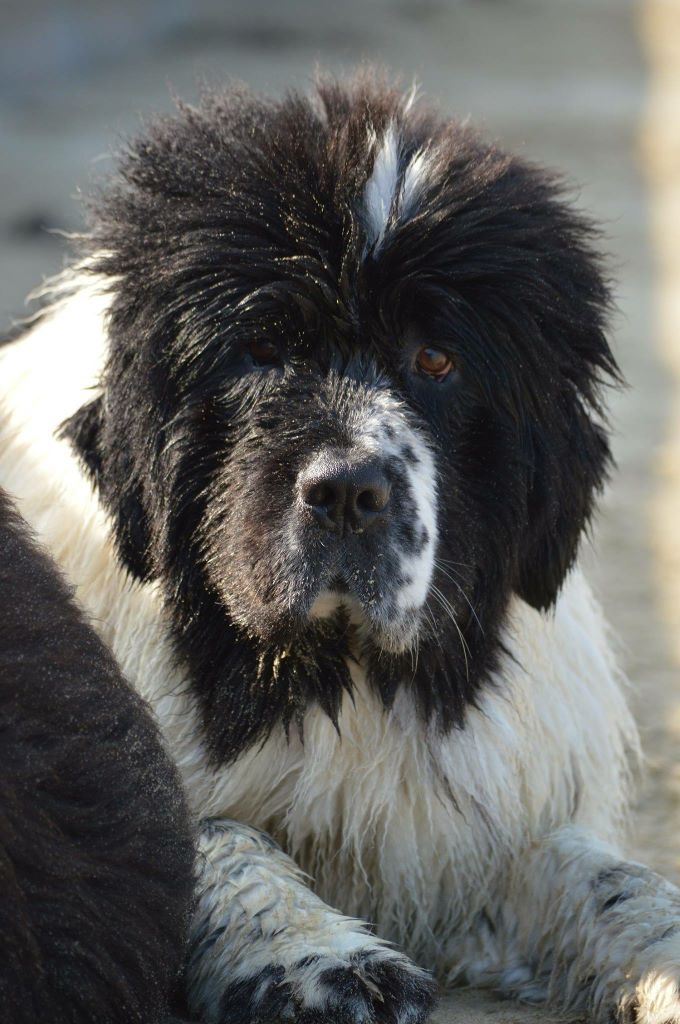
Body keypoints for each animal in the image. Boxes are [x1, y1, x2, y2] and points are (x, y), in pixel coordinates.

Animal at [2, 72, 675, 1024]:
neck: (336, 675)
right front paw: (322, 958)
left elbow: (607, 878)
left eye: (436, 361)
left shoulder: (472, 839)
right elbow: (205, 832)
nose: (349, 492)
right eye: (260, 349)